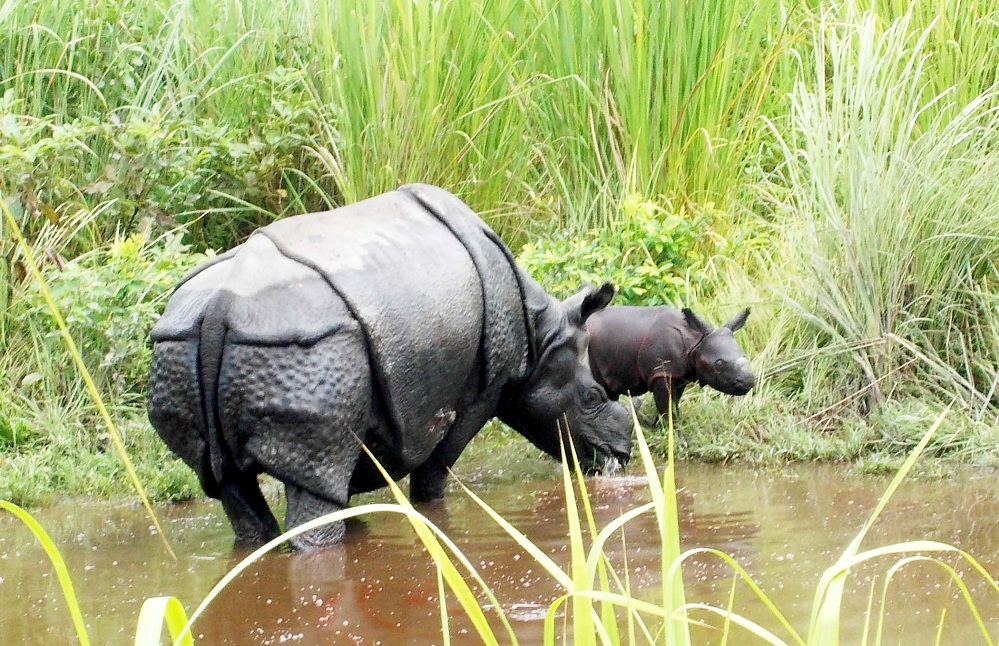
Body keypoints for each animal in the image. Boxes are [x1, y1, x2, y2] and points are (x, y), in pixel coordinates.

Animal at [147, 184, 633, 549]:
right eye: (592, 397)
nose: (623, 452)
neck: (540, 335)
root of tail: (218, 309)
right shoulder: (483, 389)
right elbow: (437, 466)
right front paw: (429, 512)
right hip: (311, 348)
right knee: (311, 488)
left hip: (181, 344)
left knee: (228, 483)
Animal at [586, 306, 755, 422]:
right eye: (718, 364)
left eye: (745, 356)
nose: (748, 381)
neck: (696, 342)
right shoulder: (662, 372)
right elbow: (666, 404)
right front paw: (673, 434)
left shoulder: (679, 374)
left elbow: (674, 401)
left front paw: (661, 426)